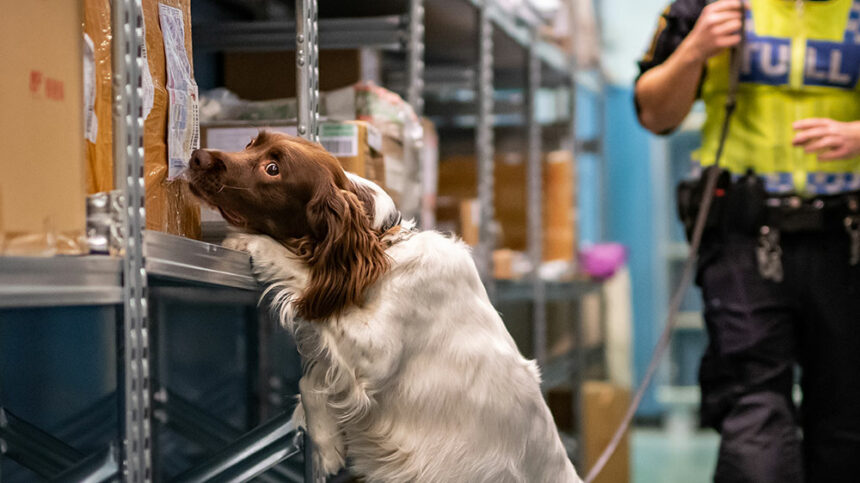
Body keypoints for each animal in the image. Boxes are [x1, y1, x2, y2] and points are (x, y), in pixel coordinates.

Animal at [186, 132, 576, 483]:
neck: (383, 245)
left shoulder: (373, 351)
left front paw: (251, 242)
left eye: (272, 169)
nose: (197, 156)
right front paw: (327, 443)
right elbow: (311, 379)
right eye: (251, 143)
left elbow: (297, 285)